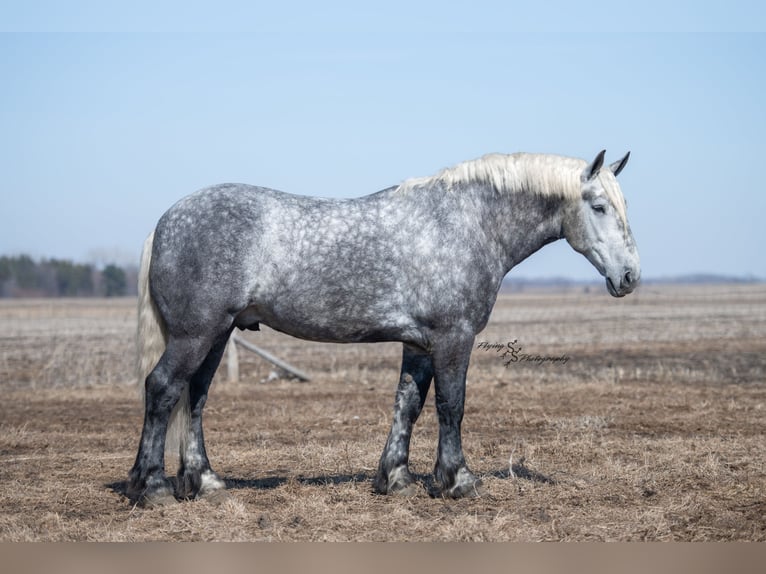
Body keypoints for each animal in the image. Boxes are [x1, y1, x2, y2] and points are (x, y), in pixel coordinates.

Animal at [127, 149, 640, 506]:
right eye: (598, 206)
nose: (630, 276)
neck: (466, 224)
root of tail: (165, 221)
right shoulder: (453, 338)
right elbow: (452, 406)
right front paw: (458, 481)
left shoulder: (418, 343)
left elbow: (407, 406)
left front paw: (396, 479)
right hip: (195, 335)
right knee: (163, 389)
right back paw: (151, 487)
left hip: (215, 336)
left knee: (194, 398)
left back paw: (205, 482)